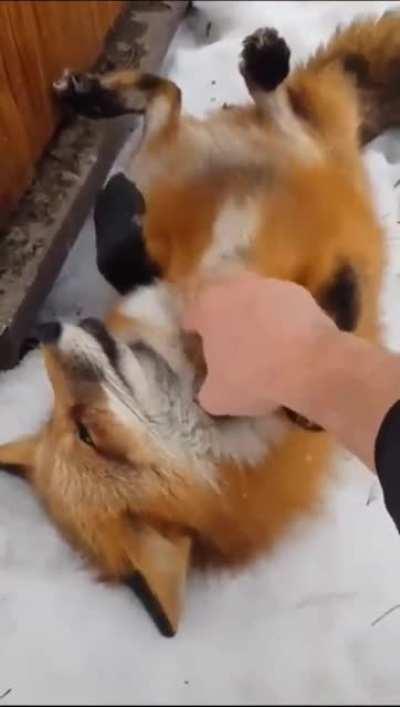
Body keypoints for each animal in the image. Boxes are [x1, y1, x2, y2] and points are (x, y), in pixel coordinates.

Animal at [1, 11, 400, 637]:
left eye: (82, 429)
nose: (44, 333)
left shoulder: (162, 276)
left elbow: (117, 258)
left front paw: (340, 302)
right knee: (180, 100)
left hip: (202, 159)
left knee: (190, 102)